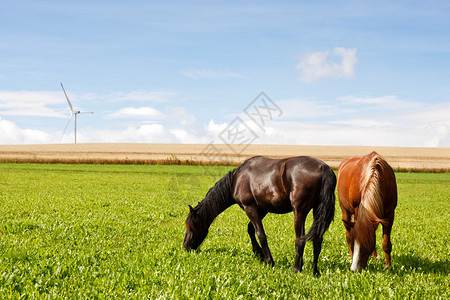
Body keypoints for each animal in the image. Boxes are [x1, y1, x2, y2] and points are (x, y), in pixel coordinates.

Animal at [181, 156, 336, 276]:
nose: (185, 247)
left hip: (300, 211)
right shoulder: (262, 209)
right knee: (317, 239)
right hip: (317, 211)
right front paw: (258, 253)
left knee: (300, 239)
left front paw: (269, 261)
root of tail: (324, 168)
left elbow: (260, 234)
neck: (237, 179)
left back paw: (296, 268)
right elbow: (251, 229)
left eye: (191, 227)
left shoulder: (250, 208)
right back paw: (314, 271)